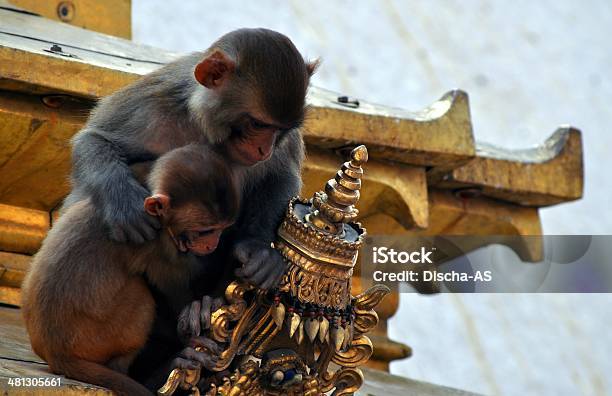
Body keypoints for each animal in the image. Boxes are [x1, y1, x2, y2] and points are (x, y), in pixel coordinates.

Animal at [19, 145, 239, 396]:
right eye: (205, 231)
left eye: (222, 228)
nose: (213, 244)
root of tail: (56, 354)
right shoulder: (158, 244)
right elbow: (175, 289)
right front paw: (194, 316)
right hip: (99, 336)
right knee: (141, 297)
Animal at [67, 27, 318, 288]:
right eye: (258, 124)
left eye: (281, 129)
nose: (265, 150)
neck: (209, 130)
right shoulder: (152, 109)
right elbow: (95, 139)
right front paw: (124, 202)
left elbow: (280, 177)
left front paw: (257, 247)